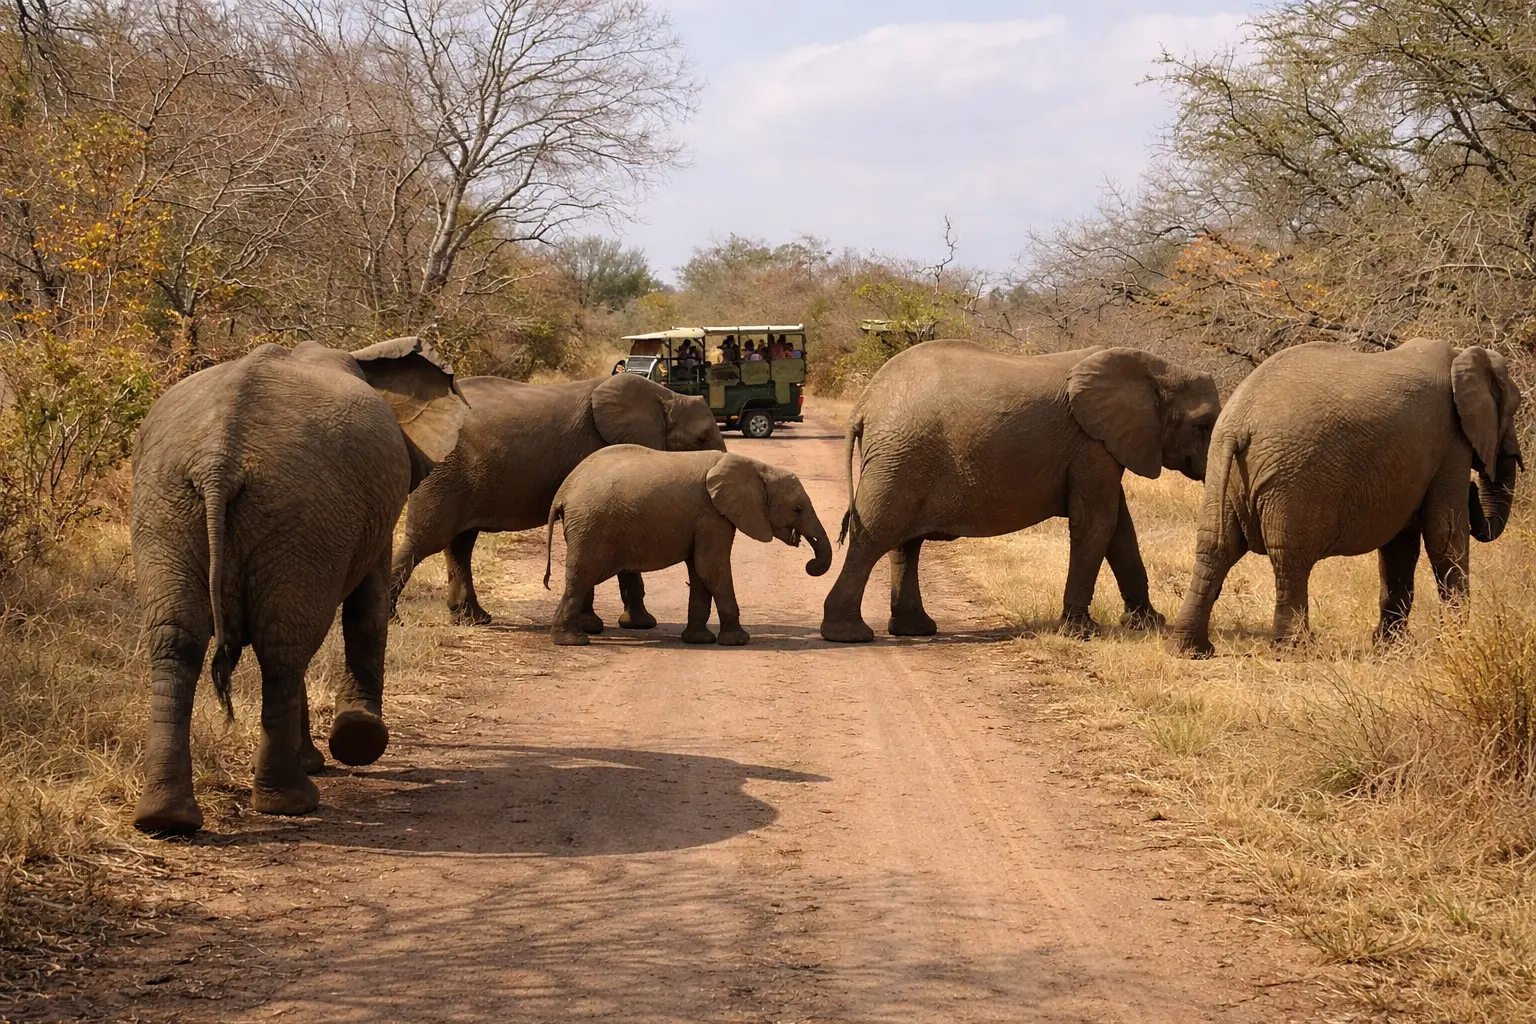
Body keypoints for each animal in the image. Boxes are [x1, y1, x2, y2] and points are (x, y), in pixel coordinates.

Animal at [130, 337, 467, 835]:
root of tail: (218, 460)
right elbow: (368, 610)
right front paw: (358, 742)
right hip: (289, 513)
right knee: (281, 648)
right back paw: (291, 802)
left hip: (178, 506)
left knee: (186, 641)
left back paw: (167, 819)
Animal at [390, 373, 726, 628]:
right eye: (701, 439)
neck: (666, 396)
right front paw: (610, 625)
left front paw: (628, 624)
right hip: (441, 471)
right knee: (426, 541)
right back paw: (396, 620)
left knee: (459, 544)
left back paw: (474, 619)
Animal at [543, 446, 832, 646]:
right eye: (797, 509)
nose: (811, 564)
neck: (757, 467)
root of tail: (563, 492)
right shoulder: (713, 516)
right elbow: (712, 570)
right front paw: (738, 641)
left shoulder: (706, 519)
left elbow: (700, 572)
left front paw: (699, 639)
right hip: (592, 525)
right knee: (583, 575)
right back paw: (573, 640)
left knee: (581, 576)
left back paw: (566, 636)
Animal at [820, 340, 1221, 643]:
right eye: (1203, 426)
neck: (1157, 370)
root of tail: (865, 402)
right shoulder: (1091, 444)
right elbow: (1097, 522)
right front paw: (1081, 633)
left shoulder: (1104, 446)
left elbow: (1120, 528)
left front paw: (1149, 624)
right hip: (901, 457)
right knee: (873, 536)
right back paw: (849, 635)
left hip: (904, 457)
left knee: (905, 546)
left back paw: (914, 630)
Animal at [1168, 338, 1523, 656]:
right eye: (1514, 410)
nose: (1474, 489)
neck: (1462, 356)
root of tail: (1238, 426)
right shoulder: (1452, 443)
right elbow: (1443, 536)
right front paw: (1456, 646)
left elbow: (1400, 545)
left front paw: (1392, 649)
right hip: (1291, 481)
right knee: (1290, 560)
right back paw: (1294, 651)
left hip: (1221, 471)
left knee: (1215, 548)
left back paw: (1192, 650)